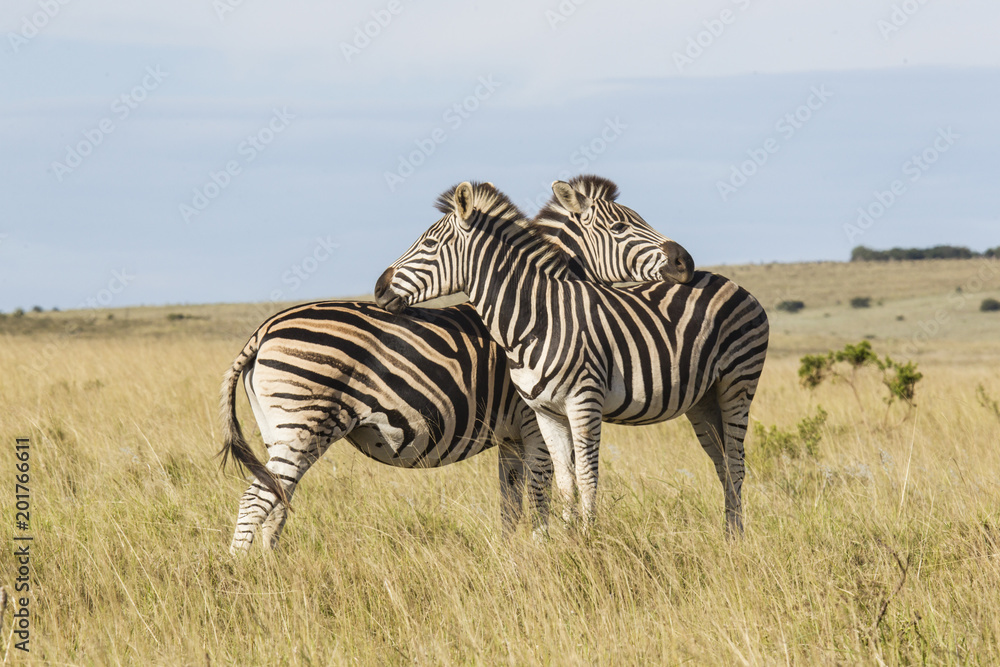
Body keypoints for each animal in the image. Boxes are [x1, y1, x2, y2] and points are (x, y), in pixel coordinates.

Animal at [220, 176, 691, 553]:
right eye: (621, 227)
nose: (684, 261)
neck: (540, 305)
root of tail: (263, 330)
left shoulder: (510, 437)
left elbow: (510, 503)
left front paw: (514, 554)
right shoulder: (532, 424)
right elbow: (542, 490)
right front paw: (545, 548)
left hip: (282, 430)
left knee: (276, 499)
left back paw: (272, 569)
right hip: (302, 424)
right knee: (256, 500)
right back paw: (244, 574)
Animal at [375, 181, 769, 535]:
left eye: (429, 243)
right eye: (620, 226)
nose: (379, 287)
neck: (536, 317)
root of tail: (735, 284)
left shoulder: (582, 403)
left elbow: (583, 476)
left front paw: (587, 540)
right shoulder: (544, 412)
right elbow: (563, 479)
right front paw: (566, 543)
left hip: (737, 386)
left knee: (736, 463)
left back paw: (737, 541)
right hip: (703, 400)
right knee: (722, 463)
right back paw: (729, 533)